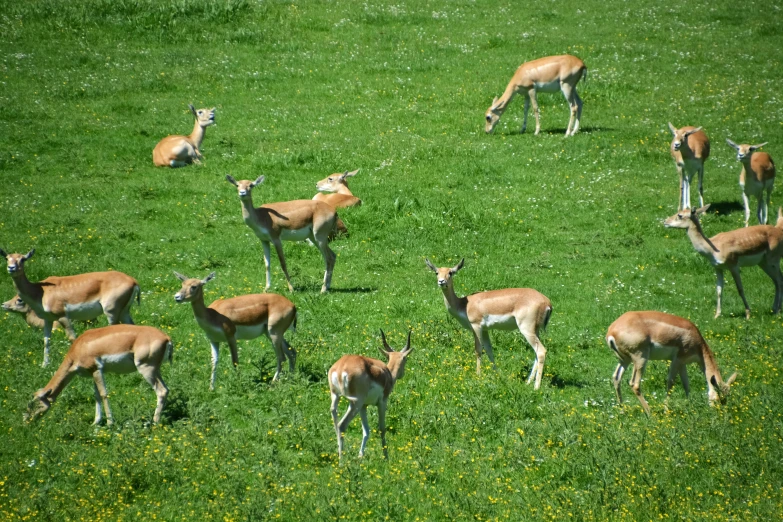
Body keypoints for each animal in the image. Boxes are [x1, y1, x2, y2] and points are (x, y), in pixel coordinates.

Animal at [1, 248, 140, 366]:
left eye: (23, 259)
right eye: (7, 258)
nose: (11, 268)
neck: (40, 291)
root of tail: (133, 281)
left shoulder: (62, 316)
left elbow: (72, 338)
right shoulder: (48, 319)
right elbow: (46, 340)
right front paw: (44, 365)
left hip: (111, 312)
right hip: (124, 312)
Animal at [24, 322, 173, 424]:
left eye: (33, 403)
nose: (26, 421)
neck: (79, 347)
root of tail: (166, 338)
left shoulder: (96, 369)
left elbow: (103, 394)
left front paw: (110, 423)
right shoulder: (93, 373)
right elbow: (96, 396)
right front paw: (96, 423)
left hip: (146, 369)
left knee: (161, 391)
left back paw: (154, 422)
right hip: (155, 370)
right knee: (166, 389)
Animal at [330, 330, 414, 460]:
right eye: (405, 358)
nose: (402, 374)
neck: (387, 374)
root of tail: (340, 368)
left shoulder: (364, 406)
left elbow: (366, 431)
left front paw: (361, 455)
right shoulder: (382, 402)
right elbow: (382, 429)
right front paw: (386, 457)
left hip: (336, 397)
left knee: (335, 419)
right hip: (355, 402)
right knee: (341, 425)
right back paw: (342, 460)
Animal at [426, 256, 556, 386]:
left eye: (451, 272)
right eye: (437, 272)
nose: (441, 281)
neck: (464, 304)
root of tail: (546, 302)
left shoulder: (476, 326)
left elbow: (478, 350)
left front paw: (478, 375)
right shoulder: (485, 330)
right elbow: (489, 350)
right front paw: (497, 375)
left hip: (526, 329)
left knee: (541, 351)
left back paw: (536, 386)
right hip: (535, 330)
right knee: (536, 353)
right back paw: (528, 382)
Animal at [608, 308, 740, 414]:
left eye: (727, 397)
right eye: (718, 398)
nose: (719, 412)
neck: (698, 343)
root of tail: (612, 331)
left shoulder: (683, 364)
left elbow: (686, 384)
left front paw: (690, 405)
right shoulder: (677, 360)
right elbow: (671, 383)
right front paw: (666, 410)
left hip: (625, 360)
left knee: (616, 378)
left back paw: (622, 410)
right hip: (640, 358)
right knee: (634, 384)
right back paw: (650, 413)